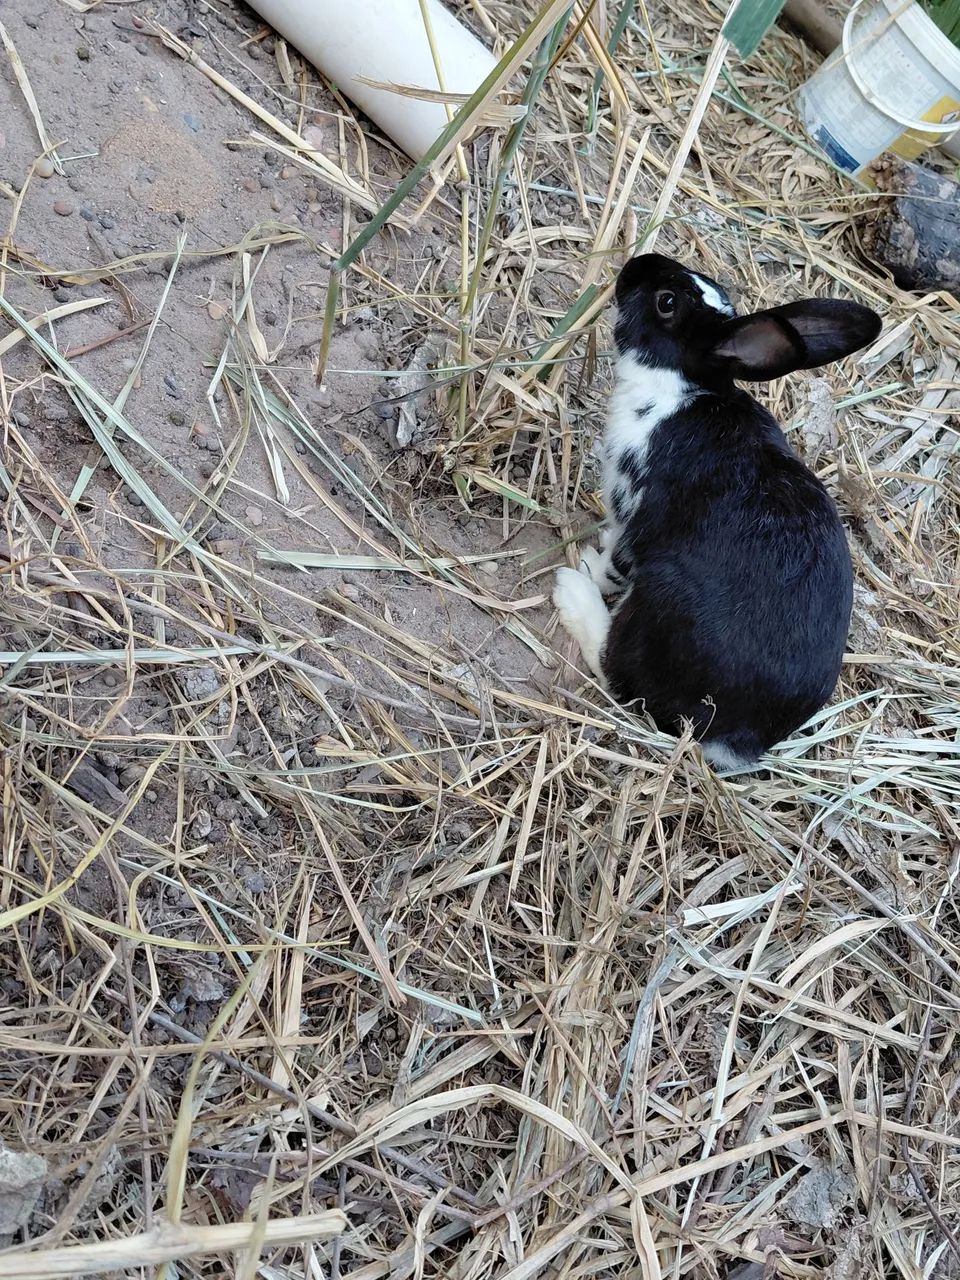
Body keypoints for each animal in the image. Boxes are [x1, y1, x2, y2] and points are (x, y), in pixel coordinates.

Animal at [553, 252, 882, 770]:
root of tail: (737, 739)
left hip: (660, 601)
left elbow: (615, 563)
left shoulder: (636, 511)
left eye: (666, 302)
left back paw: (572, 594)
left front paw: (590, 563)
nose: (635, 264)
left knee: (619, 676)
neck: (682, 388)